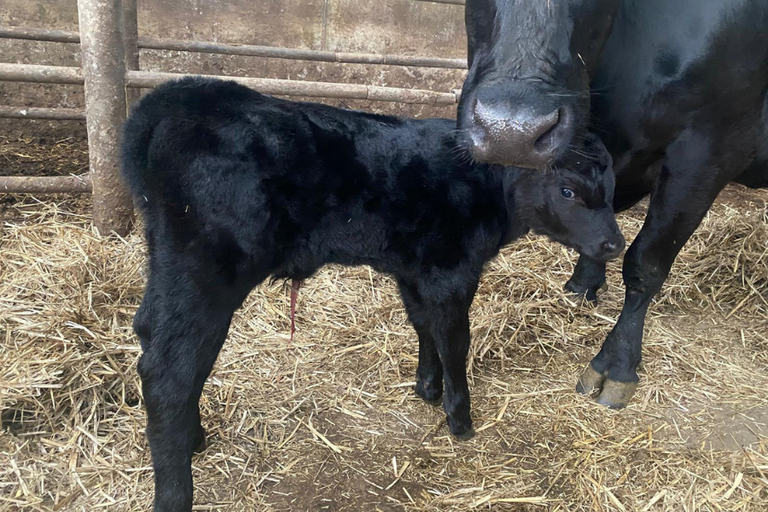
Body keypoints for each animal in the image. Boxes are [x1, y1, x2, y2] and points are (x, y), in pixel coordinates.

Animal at [122, 77, 624, 511]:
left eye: (612, 187)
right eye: (568, 191)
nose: (614, 244)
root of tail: (180, 97)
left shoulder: (414, 270)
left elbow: (422, 326)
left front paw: (427, 388)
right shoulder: (452, 272)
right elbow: (454, 341)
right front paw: (459, 418)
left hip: (167, 257)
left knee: (150, 332)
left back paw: (194, 437)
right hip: (207, 271)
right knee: (170, 371)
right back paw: (175, 493)